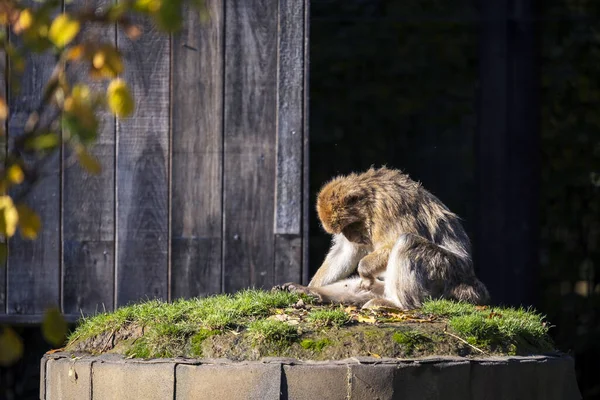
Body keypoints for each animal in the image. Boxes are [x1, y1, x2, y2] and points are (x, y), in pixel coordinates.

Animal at [278, 166, 490, 310]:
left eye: (350, 226)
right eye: (343, 231)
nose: (351, 236)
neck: (371, 199)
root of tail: (474, 287)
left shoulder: (390, 207)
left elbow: (393, 242)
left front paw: (364, 268)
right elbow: (346, 252)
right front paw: (309, 287)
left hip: (448, 276)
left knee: (407, 241)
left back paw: (397, 305)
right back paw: (313, 293)